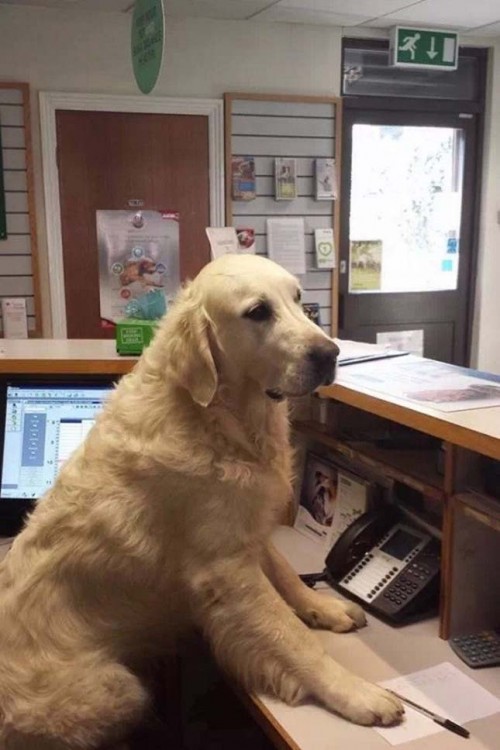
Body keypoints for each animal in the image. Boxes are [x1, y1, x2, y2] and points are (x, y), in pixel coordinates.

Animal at [0, 256, 402, 748]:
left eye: (298, 300)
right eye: (257, 312)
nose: (329, 354)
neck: (221, 418)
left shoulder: (246, 526)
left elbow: (285, 573)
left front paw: (322, 607)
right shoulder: (226, 570)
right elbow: (291, 637)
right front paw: (355, 693)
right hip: (117, 688)